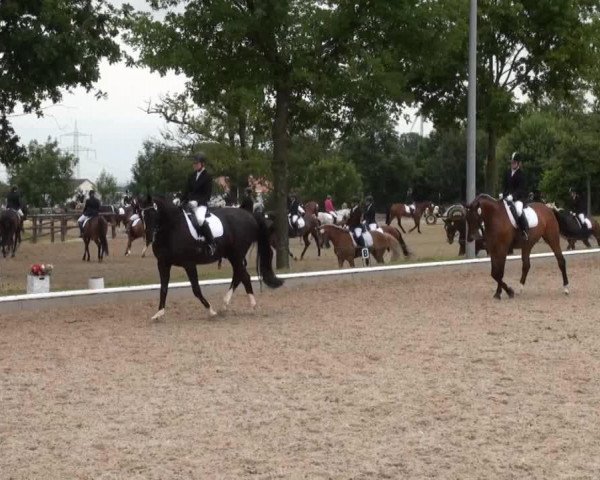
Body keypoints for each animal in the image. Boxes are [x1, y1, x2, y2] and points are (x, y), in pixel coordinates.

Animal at [148, 197, 284, 320]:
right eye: (143, 214)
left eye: (154, 212)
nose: (151, 238)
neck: (172, 229)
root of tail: (249, 214)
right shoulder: (163, 263)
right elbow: (163, 288)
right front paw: (159, 313)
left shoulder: (189, 264)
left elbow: (196, 289)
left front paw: (211, 311)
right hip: (233, 256)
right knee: (239, 275)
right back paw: (225, 305)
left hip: (236, 254)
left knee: (244, 276)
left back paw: (251, 305)